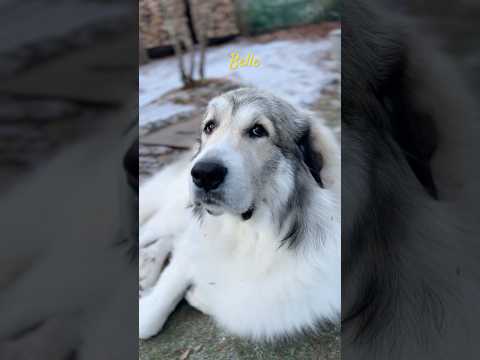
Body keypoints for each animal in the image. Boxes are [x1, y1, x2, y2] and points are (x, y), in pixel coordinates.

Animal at [139, 88, 342, 342]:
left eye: (258, 131)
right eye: (210, 127)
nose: (203, 173)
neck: (247, 234)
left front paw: (196, 294)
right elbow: (148, 321)